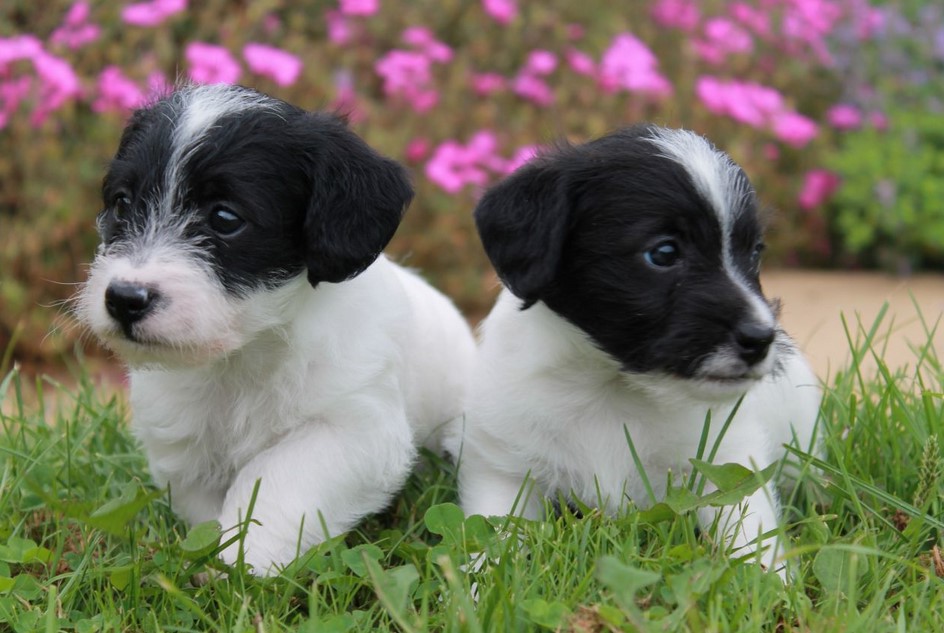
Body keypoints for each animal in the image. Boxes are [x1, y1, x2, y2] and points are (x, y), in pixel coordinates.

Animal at [79, 82, 480, 572]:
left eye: (225, 218)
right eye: (121, 202)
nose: (124, 299)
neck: (244, 356)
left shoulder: (354, 428)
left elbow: (277, 478)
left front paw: (246, 557)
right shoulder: (183, 440)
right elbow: (202, 505)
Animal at [450, 124, 820, 572]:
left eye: (754, 252)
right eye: (663, 253)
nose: (761, 338)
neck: (611, 387)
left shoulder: (727, 462)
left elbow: (751, 535)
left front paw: (771, 583)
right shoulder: (504, 469)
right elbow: (495, 541)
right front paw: (475, 584)